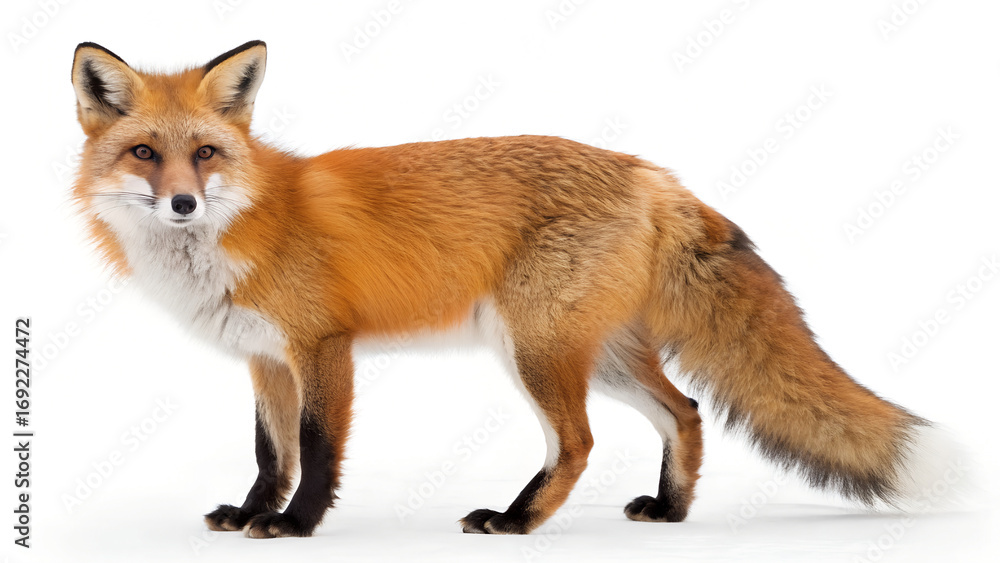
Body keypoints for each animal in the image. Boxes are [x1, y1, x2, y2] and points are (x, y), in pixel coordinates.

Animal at [70, 40, 956, 538]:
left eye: (205, 154)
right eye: (145, 153)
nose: (183, 204)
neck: (244, 224)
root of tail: (653, 176)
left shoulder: (324, 346)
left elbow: (315, 450)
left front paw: (293, 525)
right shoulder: (265, 358)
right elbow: (270, 451)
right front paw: (254, 510)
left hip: (535, 348)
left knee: (581, 442)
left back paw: (518, 518)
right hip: (598, 354)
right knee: (686, 411)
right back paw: (670, 511)